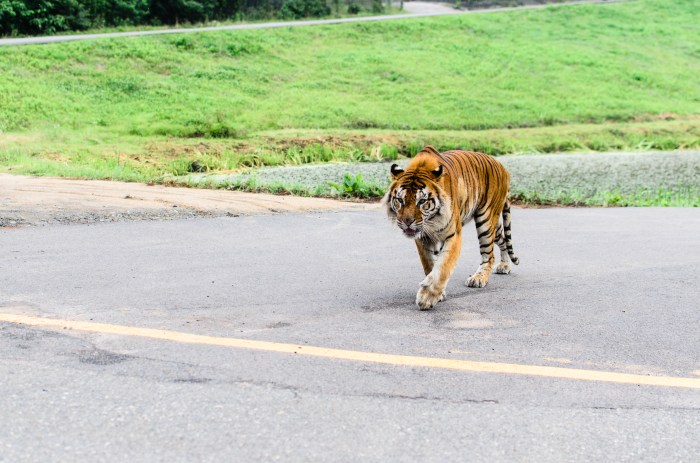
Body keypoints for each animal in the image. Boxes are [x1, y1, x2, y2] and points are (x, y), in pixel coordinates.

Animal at [384, 145, 519, 310]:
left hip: (486, 219)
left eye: (422, 201)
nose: (407, 221)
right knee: (503, 239)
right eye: (400, 200)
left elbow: (443, 267)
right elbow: (430, 264)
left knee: (489, 255)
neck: (431, 220)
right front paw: (437, 292)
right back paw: (504, 265)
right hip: (493, 223)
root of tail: (503, 168)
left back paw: (478, 278)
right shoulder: (423, 238)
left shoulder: (453, 235)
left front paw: (428, 297)